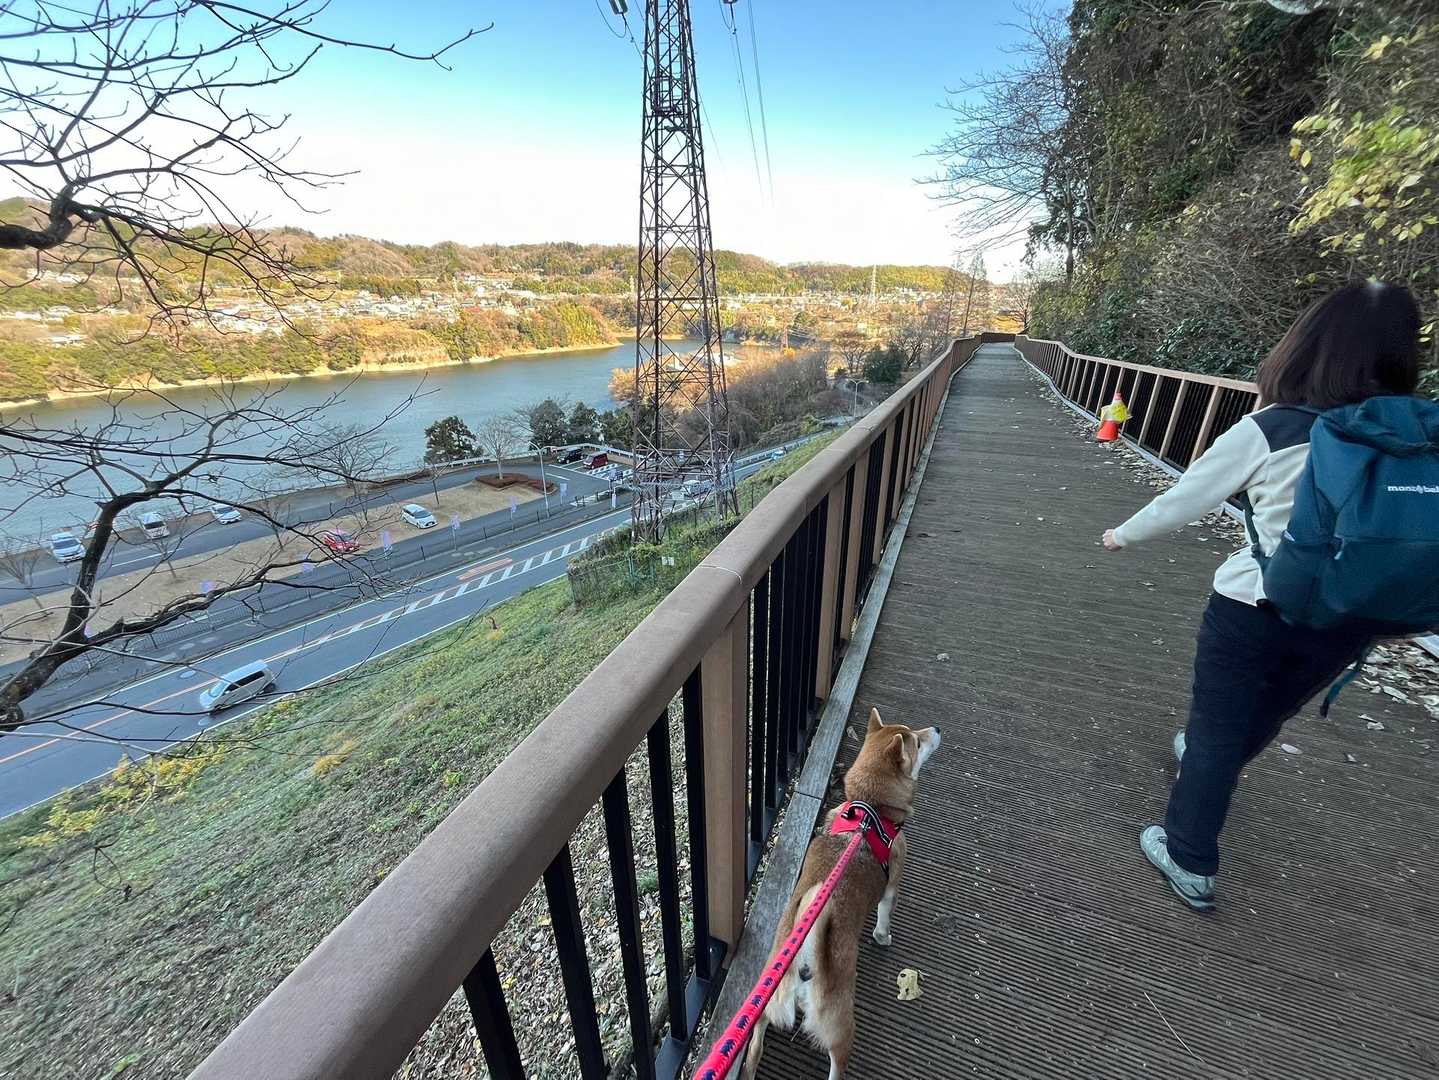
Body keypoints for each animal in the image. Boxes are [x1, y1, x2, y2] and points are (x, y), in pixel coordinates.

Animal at [740, 707, 941, 1080]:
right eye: (918, 742)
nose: (936, 727)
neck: (869, 812)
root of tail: (805, 962)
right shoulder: (892, 884)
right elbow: (885, 915)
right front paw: (883, 937)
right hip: (841, 1025)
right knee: (837, 1061)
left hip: (765, 1004)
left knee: (755, 1045)